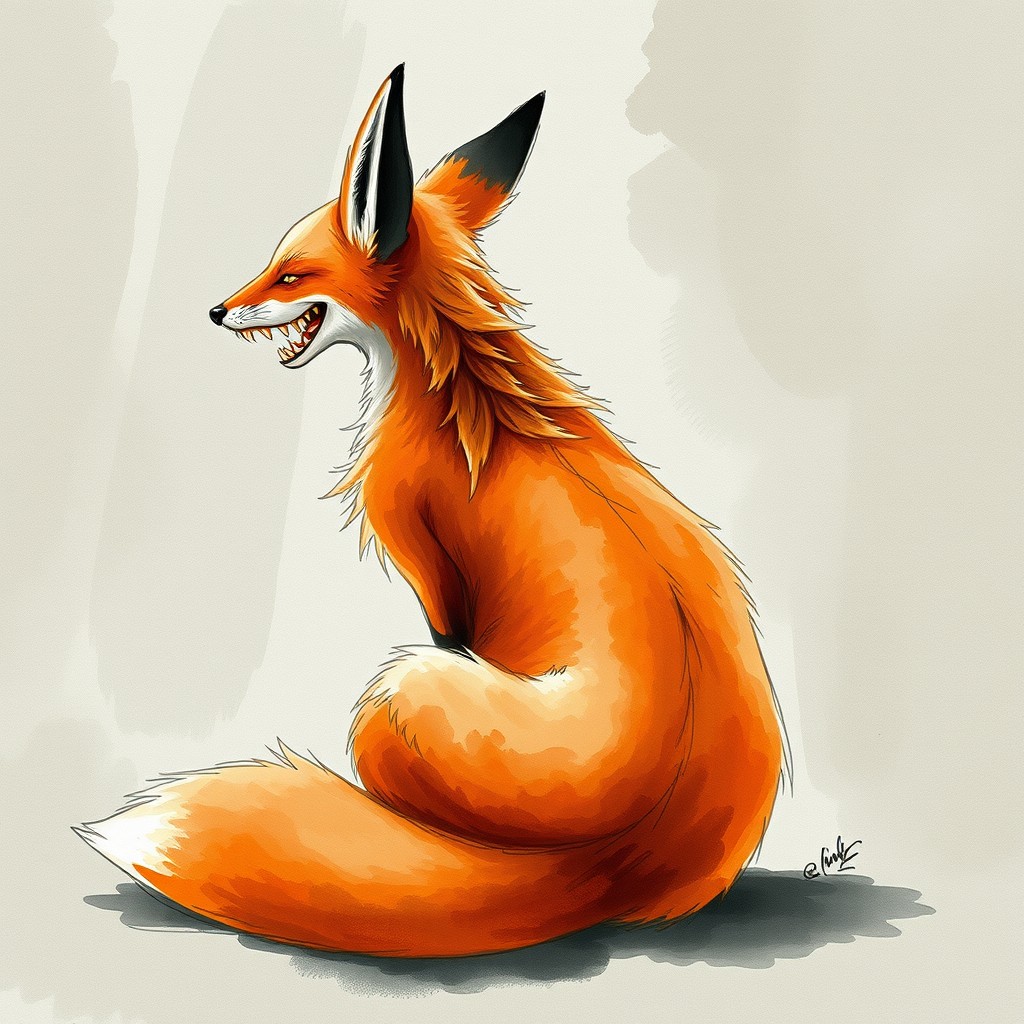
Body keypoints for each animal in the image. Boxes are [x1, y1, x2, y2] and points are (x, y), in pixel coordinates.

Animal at [77, 65, 786, 958]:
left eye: (287, 274)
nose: (215, 309)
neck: (464, 401)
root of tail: (625, 874)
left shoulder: (424, 561)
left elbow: (452, 623)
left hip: (395, 691)